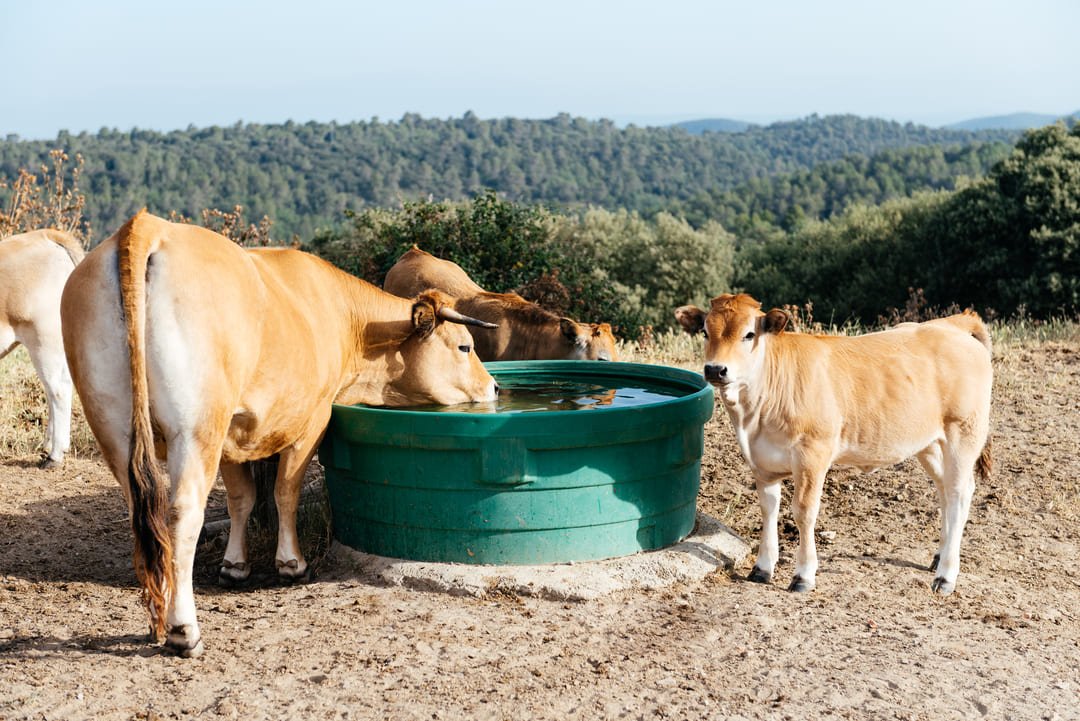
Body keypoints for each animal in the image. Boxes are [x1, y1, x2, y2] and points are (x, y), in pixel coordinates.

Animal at [59, 209, 496, 660]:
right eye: (464, 346)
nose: (495, 386)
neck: (345, 320)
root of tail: (147, 226)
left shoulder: (232, 436)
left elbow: (242, 498)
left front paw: (235, 565)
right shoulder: (312, 419)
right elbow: (285, 491)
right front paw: (291, 563)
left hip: (114, 426)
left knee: (142, 514)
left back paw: (156, 619)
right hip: (196, 428)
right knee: (182, 514)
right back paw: (184, 629)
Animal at [678, 293, 989, 595]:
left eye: (749, 334)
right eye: (705, 331)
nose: (715, 370)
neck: (753, 416)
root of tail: (951, 324)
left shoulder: (812, 454)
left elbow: (804, 511)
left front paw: (803, 575)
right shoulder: (761, 461)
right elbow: (768, 509)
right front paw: (762, 568)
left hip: (963, 433)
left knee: (959, 494)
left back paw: (946, 575)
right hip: (929, 443)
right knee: (946, 490)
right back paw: (939, 556)